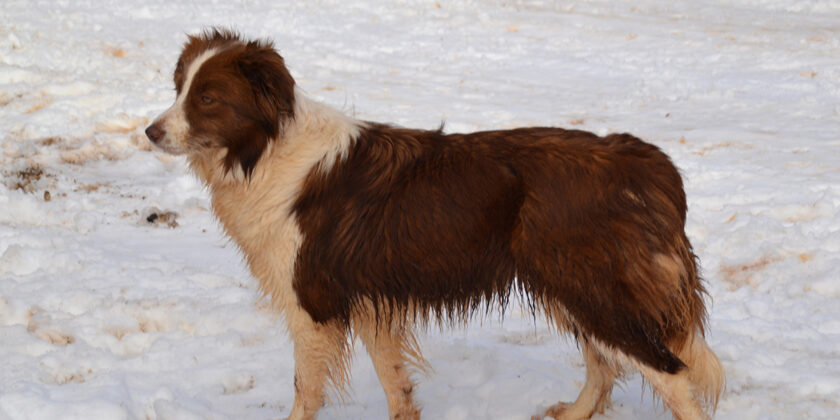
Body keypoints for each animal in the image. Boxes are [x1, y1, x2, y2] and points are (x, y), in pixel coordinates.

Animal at [144, 27, 720, 418]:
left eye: (207, 99)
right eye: (178, 88)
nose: (149, 132)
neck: (264, 151)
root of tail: (646, 161)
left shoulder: (313, 302)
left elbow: (305, 389)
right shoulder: (370, 300)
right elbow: (394, 383)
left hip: (594, 291)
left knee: (669, 373)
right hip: (573, 289)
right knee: (605, 366)